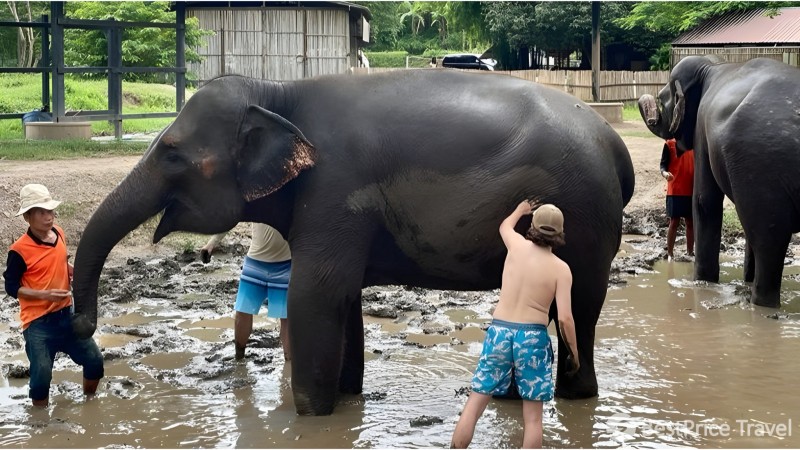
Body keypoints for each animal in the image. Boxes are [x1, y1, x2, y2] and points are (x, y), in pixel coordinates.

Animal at [71, 70, 634, 415]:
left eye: (170, 153)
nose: (82, 324)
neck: (276, 92)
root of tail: (615, 143)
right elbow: (343, 299)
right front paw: (345, 401)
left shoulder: (335, 189)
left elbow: (315, 294)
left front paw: (311, 416)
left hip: (583, 216)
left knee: (581, 307)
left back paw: (575, 400)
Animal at [638, 56, 800, 308]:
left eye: (662, 100)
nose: (646, 98)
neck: (712, 66)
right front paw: (743, 280)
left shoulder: (702, 127)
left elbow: (704, 202)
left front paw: (702, 282)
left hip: (761, 166)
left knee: (768, 238)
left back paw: (760, 304)